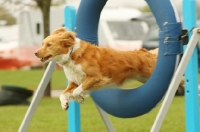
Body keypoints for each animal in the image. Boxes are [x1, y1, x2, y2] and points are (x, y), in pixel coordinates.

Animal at [34, 27, 184, 110]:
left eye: (49, 45)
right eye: (42, 43)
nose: (35, 53)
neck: (72, 55)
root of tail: (146, 52)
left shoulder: (95, 77)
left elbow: (77, 91)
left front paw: (80, 98)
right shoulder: (74, 81)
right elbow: (63, 93)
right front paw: (65, 104)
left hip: (151, 74)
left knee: (180, 79)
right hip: (144, 78)